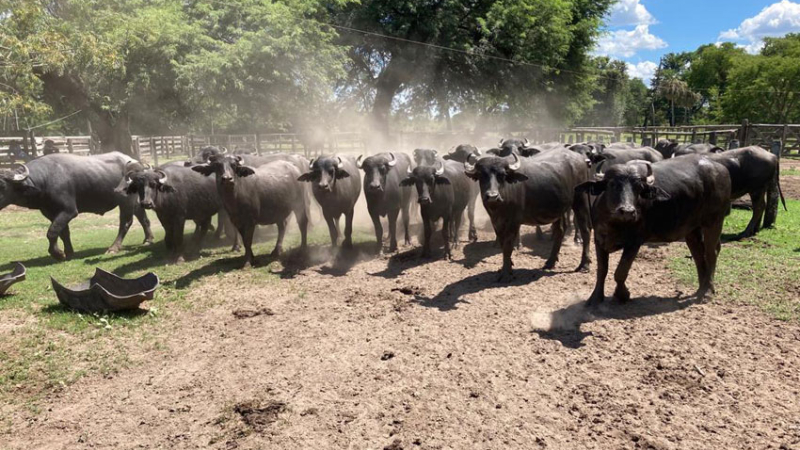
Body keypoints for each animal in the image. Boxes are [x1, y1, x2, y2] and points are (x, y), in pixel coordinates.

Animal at [0, 152, 154, 260]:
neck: (45, 180)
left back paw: (113, 248)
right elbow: (63, 232)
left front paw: (58, 254)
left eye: (2, 185)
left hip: (126, 201)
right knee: (143, 218)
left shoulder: (69, 211)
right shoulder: (51, 213)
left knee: (125, 222)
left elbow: (52, 232)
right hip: (136, 201)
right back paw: (148, 239)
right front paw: (69, 252)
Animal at [465, 151, 592, 281]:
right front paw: (507, 266)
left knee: (585, 230)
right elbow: (502, 244)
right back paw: (550, 262)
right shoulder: (496, 223)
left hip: (580, 200)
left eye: (503, 175)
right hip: (559, 208)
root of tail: (581, 159)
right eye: (481, 175)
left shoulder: (513, 223)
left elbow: (508, 246)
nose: (492, 196)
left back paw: (584, 265)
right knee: (560, 230)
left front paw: (506, 273)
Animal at [577, 157, 731, 305]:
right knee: (698, 254)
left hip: (714, 221)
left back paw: (707, 292)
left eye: (638, 188)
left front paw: (622, 295)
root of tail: (722, 169)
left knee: (711, 253)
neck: (615, 223)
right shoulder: (599, 240)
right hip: (692, 229)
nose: (627, 211)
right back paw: (700, 289)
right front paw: (595, 298)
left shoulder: (635, 243)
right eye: (612, 184)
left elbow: (620, 271)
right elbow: (602, 270)